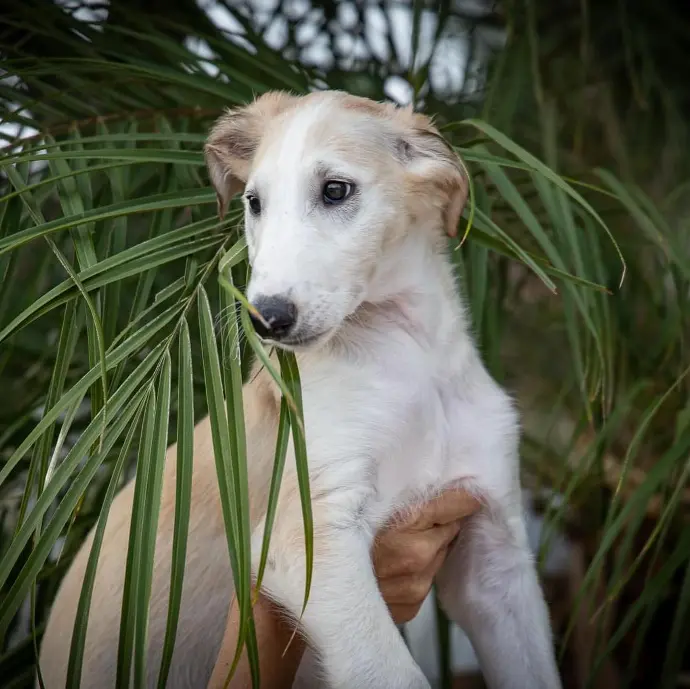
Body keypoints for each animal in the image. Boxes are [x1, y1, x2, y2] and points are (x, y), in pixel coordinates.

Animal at [40, 91, 560, 688]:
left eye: (335, 190)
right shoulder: (308, 541)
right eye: (253, 202)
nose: (264, 319)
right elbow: (395, 673)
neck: (411, 364)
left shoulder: (494, 552)